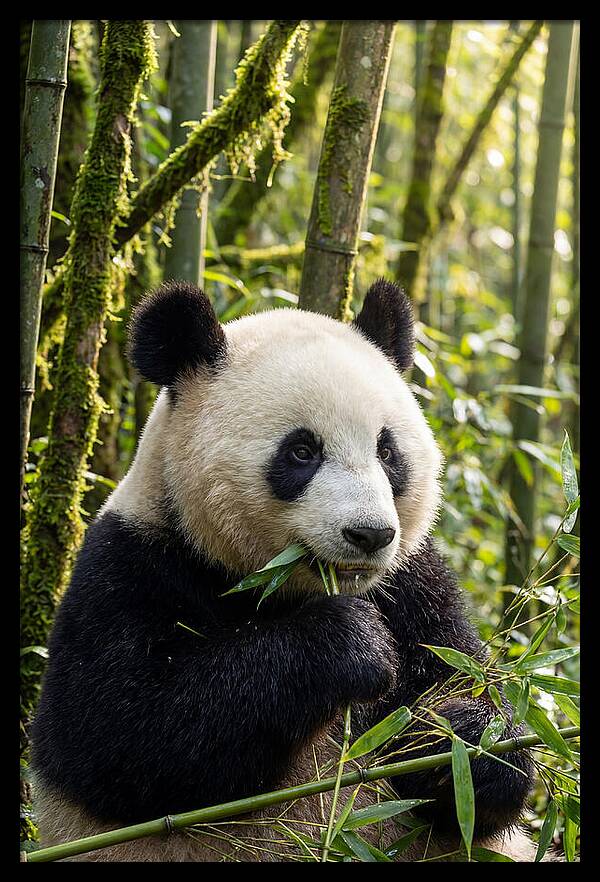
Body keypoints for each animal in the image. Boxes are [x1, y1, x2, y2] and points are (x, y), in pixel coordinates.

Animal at [31, 279, 542, 862]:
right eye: (301, 451)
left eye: (387, 451)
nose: (369, 535)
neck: (281, 585)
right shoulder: (131, 566)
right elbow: (122, 734)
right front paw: (352, 644)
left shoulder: (414, 584)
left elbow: (470, 699)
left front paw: (459, 739)